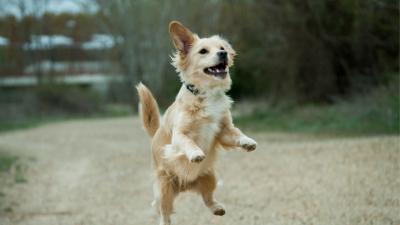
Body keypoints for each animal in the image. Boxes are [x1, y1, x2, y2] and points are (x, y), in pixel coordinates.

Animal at [137, 21, 256, 225]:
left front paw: (247, 142)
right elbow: (188, 142)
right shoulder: (179, 134)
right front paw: (195, 153)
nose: (223, 54)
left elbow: (236, 133)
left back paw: (217, 208)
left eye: (222, 48)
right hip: (164, 188)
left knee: (207, 198)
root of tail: (185, 186)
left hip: (210, 177)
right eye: (203, 51)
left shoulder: (223, 130)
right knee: (164, 212)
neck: (207, 94)